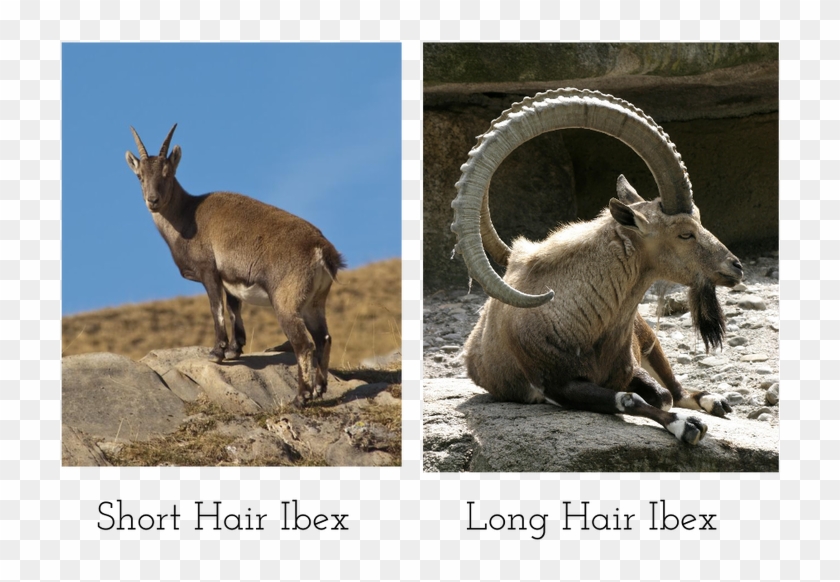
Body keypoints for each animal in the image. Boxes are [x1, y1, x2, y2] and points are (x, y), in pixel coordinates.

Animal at [126, 124, 345, 406]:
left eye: (168, 173)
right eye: (140, 176)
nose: (153, 200)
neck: (187, 217)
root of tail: (321, 250)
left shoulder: (208, 271)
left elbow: (216, 309)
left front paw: (217, 352)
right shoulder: (230, 279)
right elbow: (233, 308)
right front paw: (234, 349)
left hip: (286, 302)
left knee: (304, 345)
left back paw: (301, 397)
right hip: (314, 303)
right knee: (324, 339)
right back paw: (319, 388)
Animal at [451, 89, 743, 445]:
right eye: (685, 233)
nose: (736, 266)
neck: (582, 320)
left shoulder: (630, 367)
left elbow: (661, 394)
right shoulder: (557, 386)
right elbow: (631, 398)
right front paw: (685, 426)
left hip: (650, 337)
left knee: (676, 387)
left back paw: (716, 401)